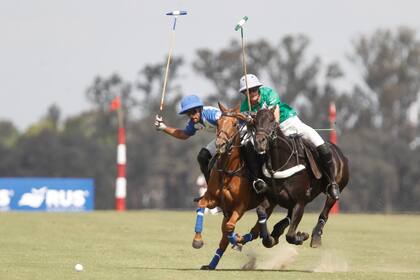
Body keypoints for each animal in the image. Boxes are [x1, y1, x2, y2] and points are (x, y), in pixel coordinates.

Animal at [192, 103, 274, 270]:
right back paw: (211, 264)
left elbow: (230, 228)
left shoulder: (241, 206)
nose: (220, 144)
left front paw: (237, 240)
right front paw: (197, 240)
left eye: (236, 124)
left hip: (269, 204)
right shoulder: (214, 200)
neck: (228, 170)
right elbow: (202, 205)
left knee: (254, 230)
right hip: (227, 211)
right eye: (217, 123)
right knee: (224, 237)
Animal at [251, 107, 350, 247]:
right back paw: (277, 231)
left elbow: (290, 235)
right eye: (254, 122)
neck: (281, 165)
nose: (259, 142)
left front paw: (301, 236)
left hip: (335, 190)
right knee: (288, 217)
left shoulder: (300, 202)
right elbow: (261, 211)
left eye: (272, 122)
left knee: (324, 213)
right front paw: (270, 237)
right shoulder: (272, 198)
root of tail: (342, 155)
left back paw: (316, 236)